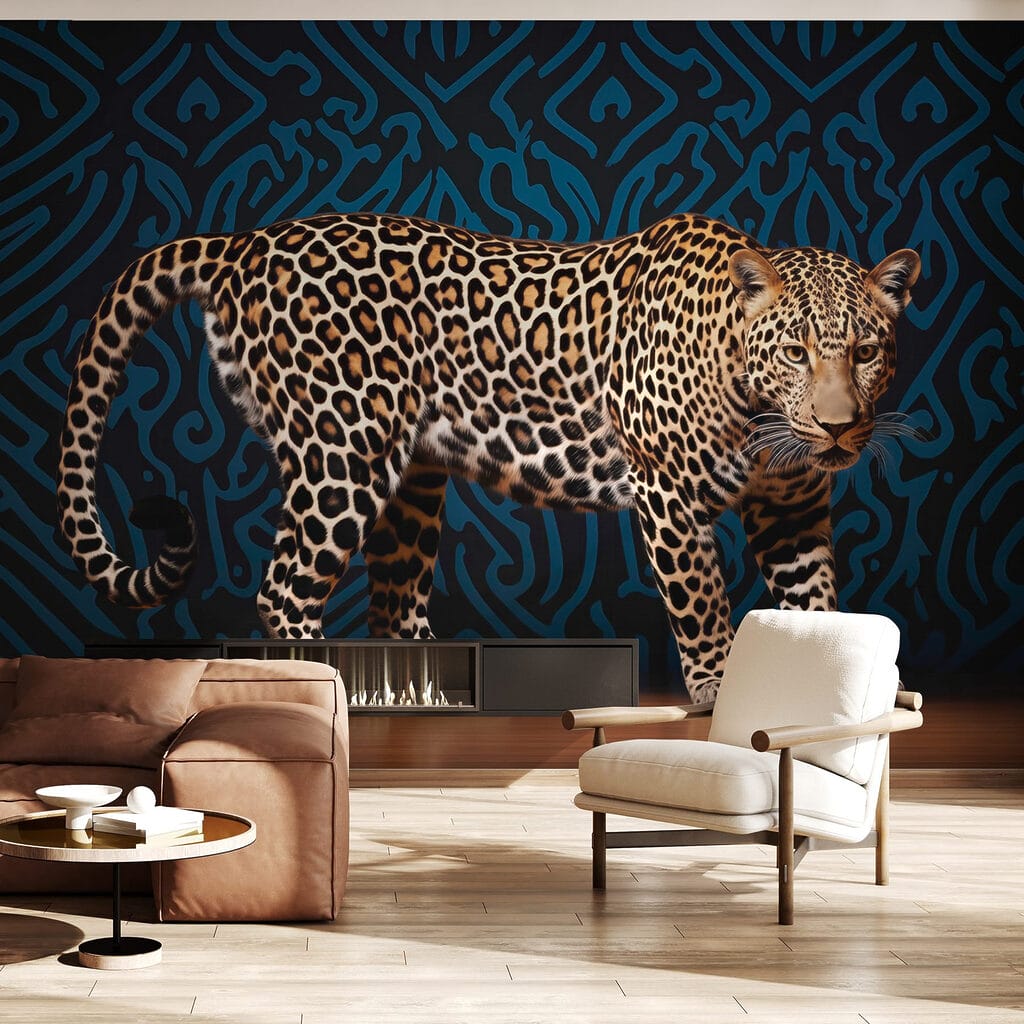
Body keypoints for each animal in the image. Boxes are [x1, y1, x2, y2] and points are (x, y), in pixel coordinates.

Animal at [56, 212, 919, 702]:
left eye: (867, 351)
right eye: (797, 351)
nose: (839, 427)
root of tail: (244, 241)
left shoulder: (793, 511)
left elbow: (815, 609)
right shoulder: (666, 491)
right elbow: (703, 601)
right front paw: (713, 692)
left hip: (410, 480)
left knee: (393, 606)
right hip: (341, 454)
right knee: (285, 588)